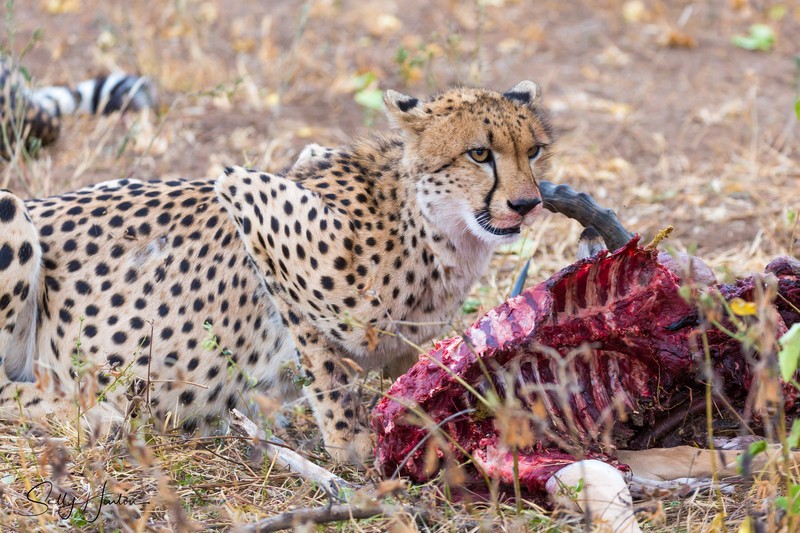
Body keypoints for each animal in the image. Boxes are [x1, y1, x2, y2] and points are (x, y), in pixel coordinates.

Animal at [0, 80, 554, 463]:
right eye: (479, 153)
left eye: (534, 150)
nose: (527, 204)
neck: (428, 224)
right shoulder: (252, 200)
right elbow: (323, 362)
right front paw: (352, 443)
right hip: (11, 210)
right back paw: (98, 413)